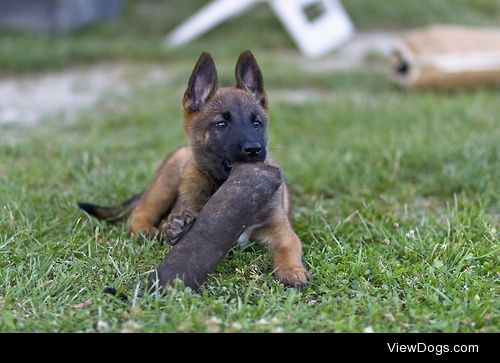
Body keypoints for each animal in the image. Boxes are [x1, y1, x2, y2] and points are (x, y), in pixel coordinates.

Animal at [78, 50, 308, 290]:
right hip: (165, 183)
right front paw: (180, 231)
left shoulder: (281, 231)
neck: (221, 185)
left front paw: (291, 271)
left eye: (257, 123)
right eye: (221, 124)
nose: (254, 149)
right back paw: (148, 230)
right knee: (137, 215)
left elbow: (289, 248)